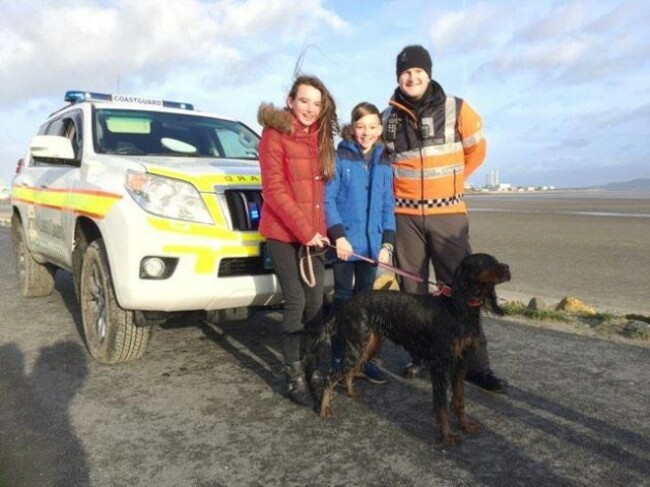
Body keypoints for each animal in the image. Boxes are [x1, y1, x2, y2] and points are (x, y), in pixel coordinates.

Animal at [316, 254, 508, 448]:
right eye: (482, 262)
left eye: (494, 260)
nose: (507, 268)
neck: (457, 307)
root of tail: (348, 304)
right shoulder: (439, 367)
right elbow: (442, 406)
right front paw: (446, 436)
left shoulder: (461, 364)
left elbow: (460, 400)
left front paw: (465, 425)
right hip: (357, 347)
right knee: (330, 377)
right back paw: (324, 408)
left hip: (368, 346)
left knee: (348, 372)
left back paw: (351, 392)